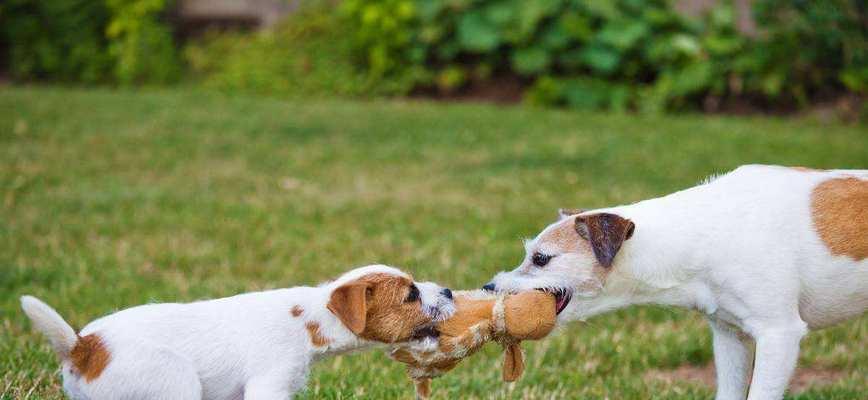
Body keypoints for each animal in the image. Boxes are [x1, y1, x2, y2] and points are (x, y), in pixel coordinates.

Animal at [20, 264, 454, 398]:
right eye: (411, 295)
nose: (449, 290)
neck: (310, 318)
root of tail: (84, 346)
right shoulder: (269, 388)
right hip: (176, 383)